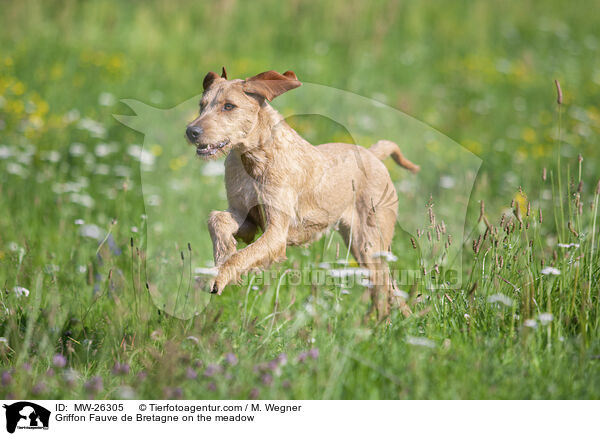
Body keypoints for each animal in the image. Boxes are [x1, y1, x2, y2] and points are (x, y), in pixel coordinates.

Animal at [186, 69, 418, 320]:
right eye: (202, 105)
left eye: (229, 106)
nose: (191, 131)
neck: (254, 158)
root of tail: (372, 154)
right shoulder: (247, 220)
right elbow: (217, 219)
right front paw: (222, 254)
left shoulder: (276, 233)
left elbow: (243, 256)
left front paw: (220, 275)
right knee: (387, 289)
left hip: (369, 243)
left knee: (383, 289)